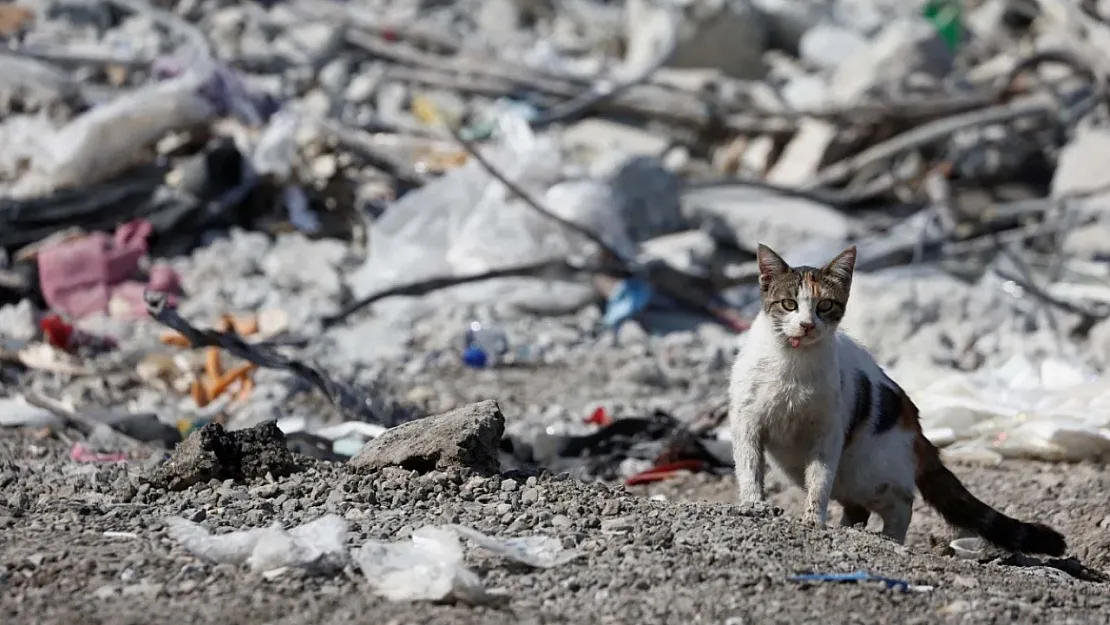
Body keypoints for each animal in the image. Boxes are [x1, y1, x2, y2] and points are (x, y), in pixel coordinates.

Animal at [728, 242, 1065, 555]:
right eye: (789, 304)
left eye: (824, 305)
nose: (807, 324)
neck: (792, 363)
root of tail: (916, 426)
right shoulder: (746, 421)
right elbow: (749, 466)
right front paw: (754, 505)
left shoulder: (828, 433)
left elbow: (819, 481)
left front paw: (813, 520)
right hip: (813, 469)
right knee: (858, 508)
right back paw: (850, 528)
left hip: (867, 469)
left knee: (900, 504)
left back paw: (887, 537)